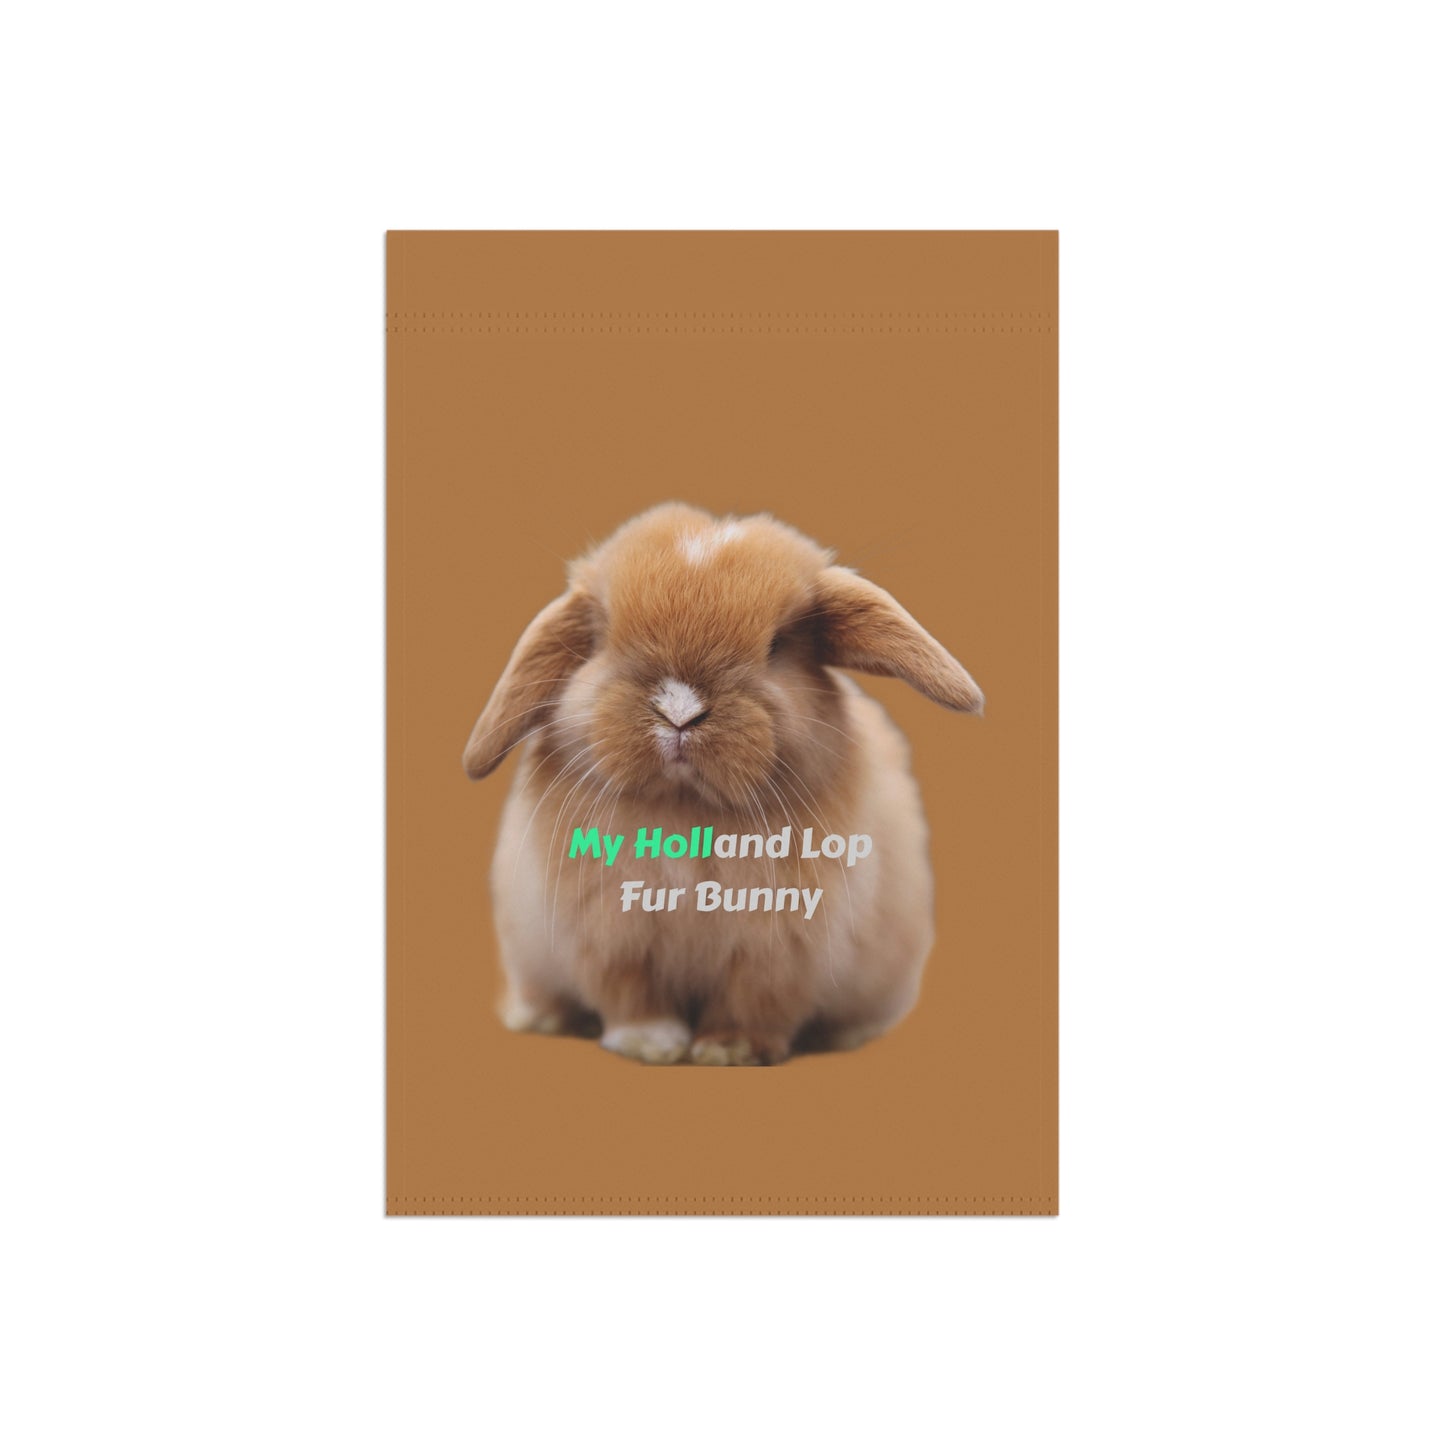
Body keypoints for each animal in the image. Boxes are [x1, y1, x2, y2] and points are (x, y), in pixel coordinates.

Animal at [463, 503, 983, 1065]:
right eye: (603, 638)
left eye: (777, 646)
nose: (679, 711)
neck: (685, 809)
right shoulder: (608, 936)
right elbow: (630, 995)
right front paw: (651, 1044)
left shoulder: (777, 948)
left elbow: (751, 1000)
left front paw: (728, 1050)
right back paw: (543, 1019)